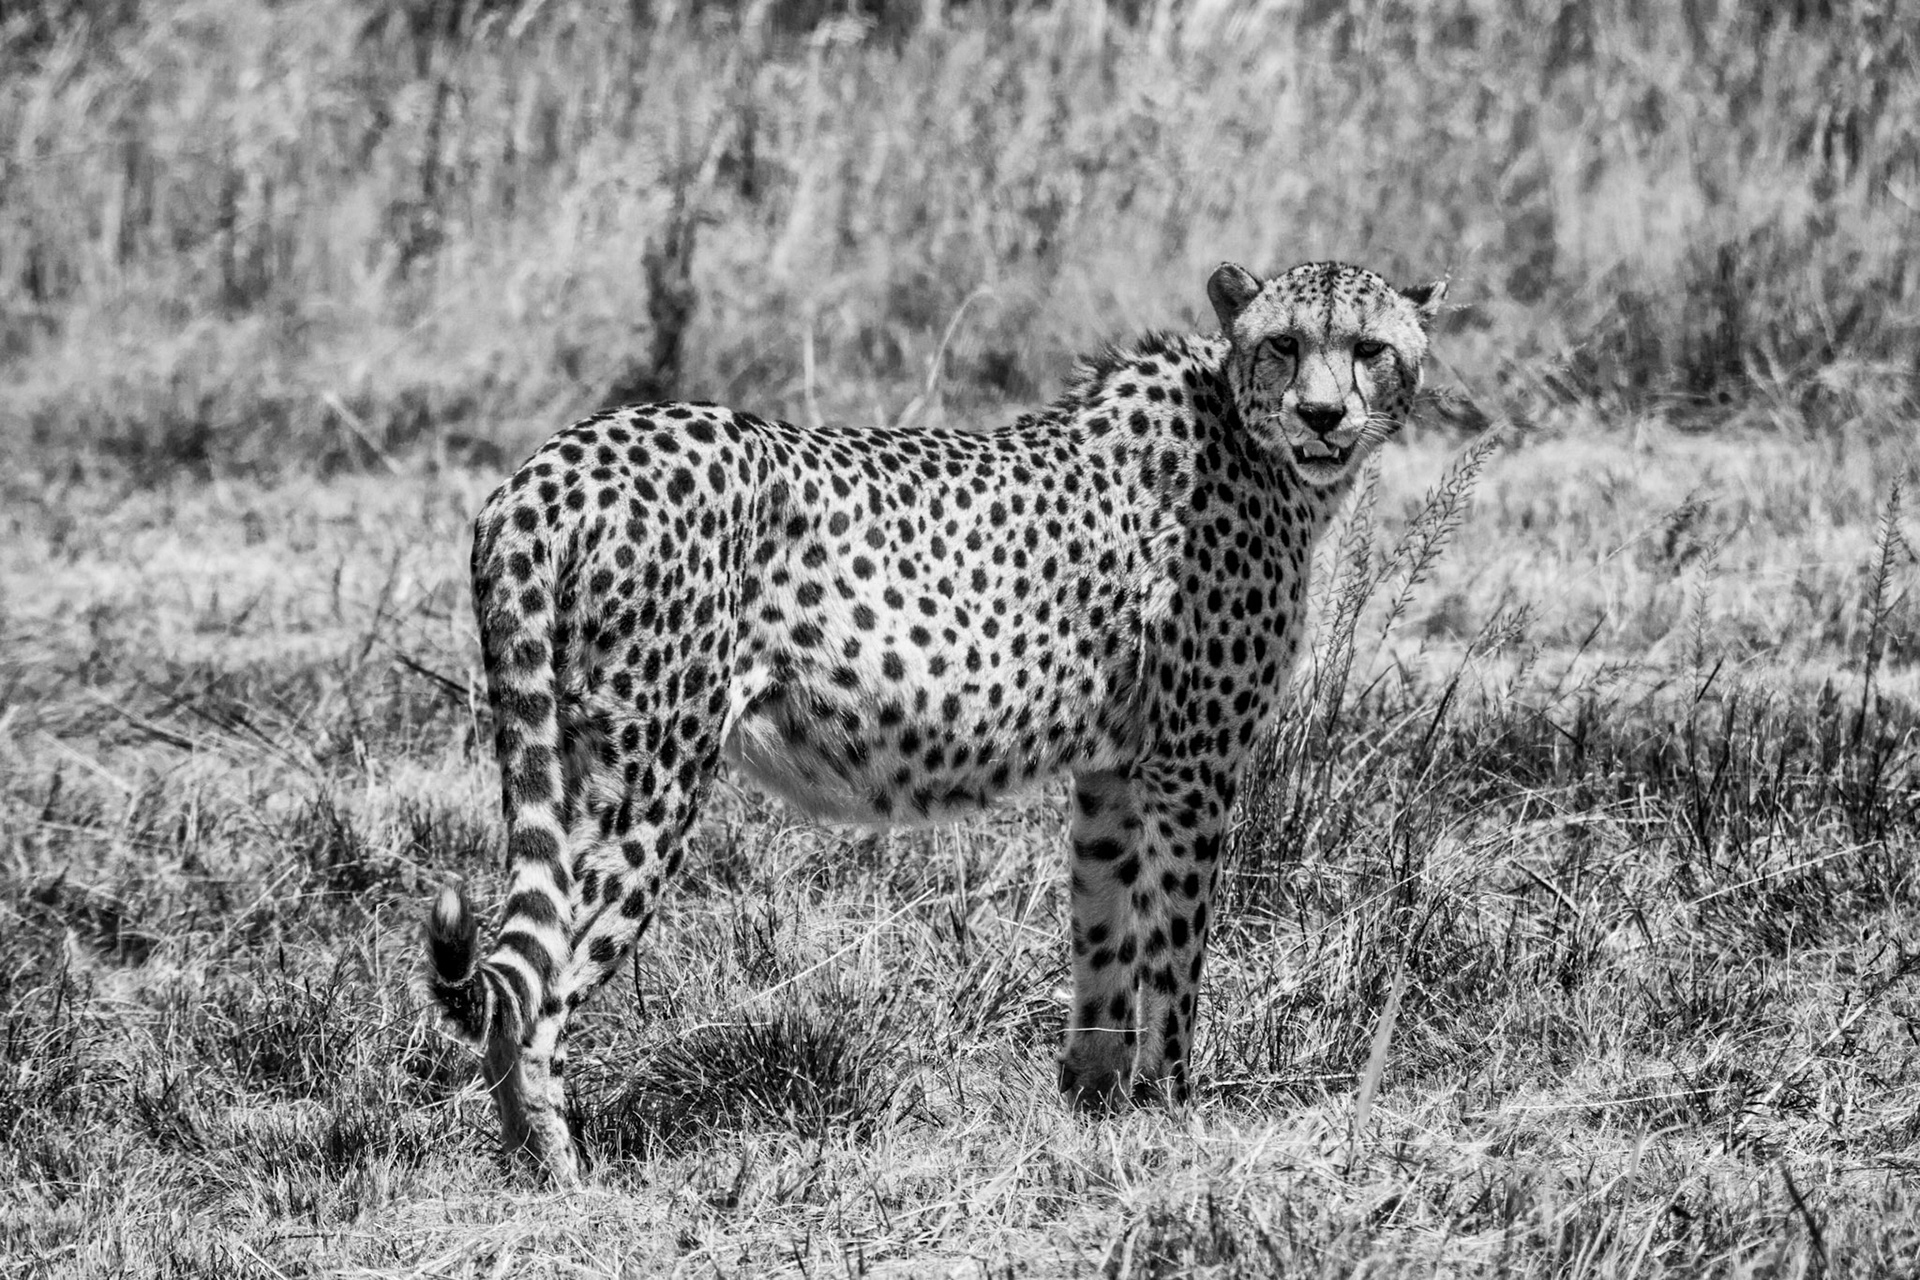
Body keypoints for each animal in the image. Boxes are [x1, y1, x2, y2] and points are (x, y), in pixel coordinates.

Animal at [424, 260, 1446, 1184]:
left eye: (1370, 349)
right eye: (1284, 345)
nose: (1324, 416)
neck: (1247, 435)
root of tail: (557, 460)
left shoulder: (1115, 771)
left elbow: (1104, 934)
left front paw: (1095, 1103)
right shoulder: (1193, 763)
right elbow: (1175, 952)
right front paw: (1175, 1107)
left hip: (576, 751)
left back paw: (525, 1164)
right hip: (650, 773)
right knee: (535, 986)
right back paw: (560, 1175)